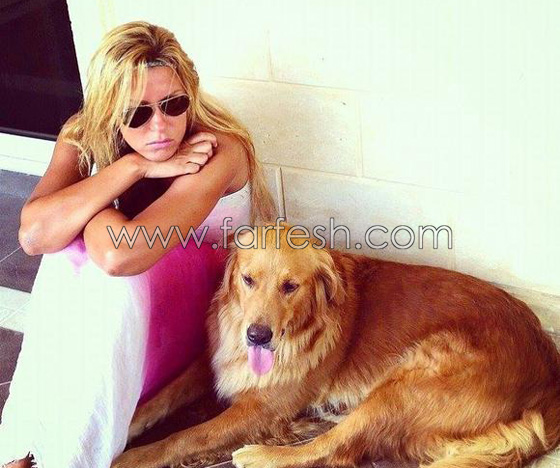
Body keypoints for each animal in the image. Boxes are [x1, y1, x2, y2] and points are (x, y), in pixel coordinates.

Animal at [112, 222, 560, 468]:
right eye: (248, 280)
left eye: (290, 287)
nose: (257, 336)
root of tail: (547, 369)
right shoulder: (215, 360)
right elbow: (162, 398)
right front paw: (126, 425)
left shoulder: (261, 408)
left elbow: (189, 436)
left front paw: (134, 456)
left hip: (402, 388)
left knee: (333, 448)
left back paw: (260, 456)